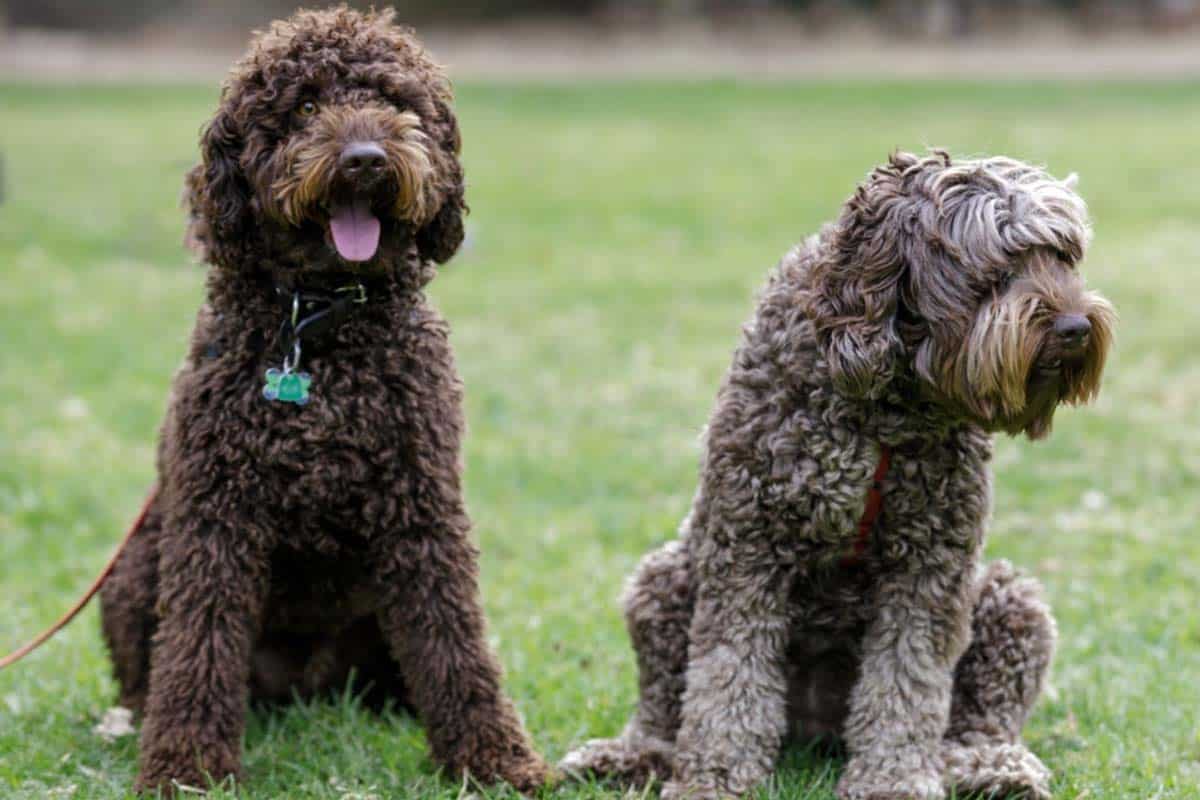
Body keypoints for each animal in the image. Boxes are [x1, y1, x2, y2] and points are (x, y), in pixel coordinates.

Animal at [98, 9, 549, 796]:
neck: (318, 327)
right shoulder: (214, 518)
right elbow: (197, 644)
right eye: (305, 107)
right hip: (133, 569)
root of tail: (306, 690)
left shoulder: (423, 509)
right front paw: (187, 768)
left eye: (396, 103)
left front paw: (494, 760)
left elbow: (455, 639)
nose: (365, 159)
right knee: (150, 670)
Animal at [561, 151, 1113, 800]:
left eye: (1064, 256)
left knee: (982, 713)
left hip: (1009, 602)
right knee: (663, 702)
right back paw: (634, 754)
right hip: (664, 580)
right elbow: (727, 676)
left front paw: (894, 779)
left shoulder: (931, 564)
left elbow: (907, 681)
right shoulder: (747, 545)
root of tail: (816, 728)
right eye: (1000, 267)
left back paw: (989, 766)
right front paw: (714, 776)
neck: (885, 399)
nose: (1075, 327)